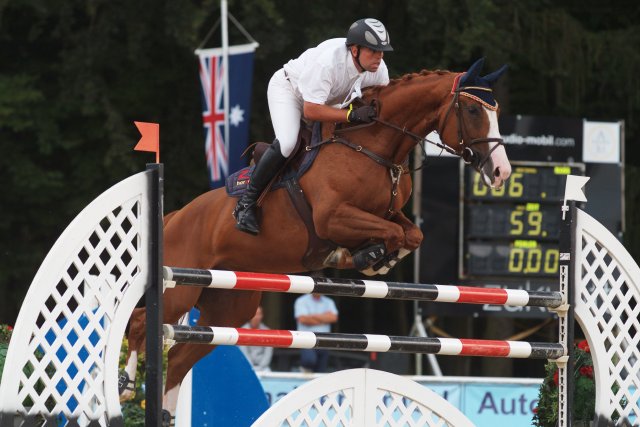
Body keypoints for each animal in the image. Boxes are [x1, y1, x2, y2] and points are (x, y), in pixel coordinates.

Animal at [120, 57, 510, 422]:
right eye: (473, 110)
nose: (501, 172)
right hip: (180, 287)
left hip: (230, 306)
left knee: (180, 358)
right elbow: (393, 232)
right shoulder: (331, 217)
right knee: (140, 324)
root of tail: (173, 217)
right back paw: (125, 386)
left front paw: (374, 258)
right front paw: (366, 256)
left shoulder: (388, 212)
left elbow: (411, 233)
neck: (374, 148)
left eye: (497, 112)